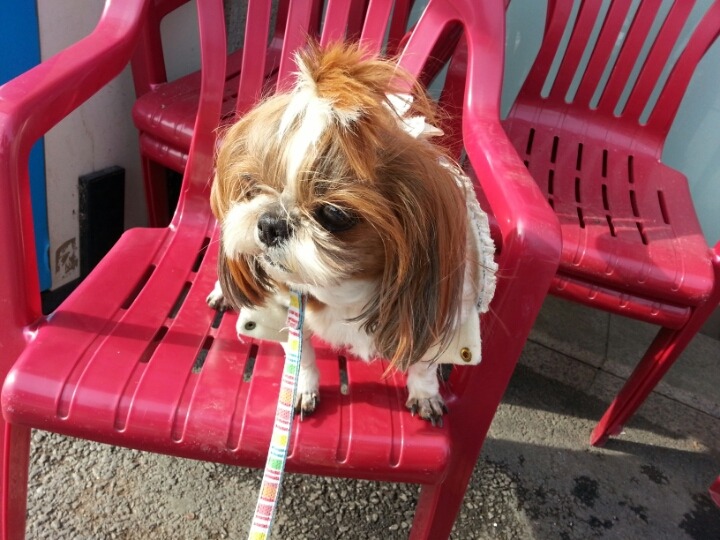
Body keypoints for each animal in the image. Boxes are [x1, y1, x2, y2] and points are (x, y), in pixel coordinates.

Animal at [207, 42, 496, 425]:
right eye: (251, 188)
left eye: (334, 214)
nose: (270, 223)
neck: (341, 288)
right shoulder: (285, 311)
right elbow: (302, 355)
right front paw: (302, 388)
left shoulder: (442, 314)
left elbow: (423, 366)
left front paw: (425, 394)